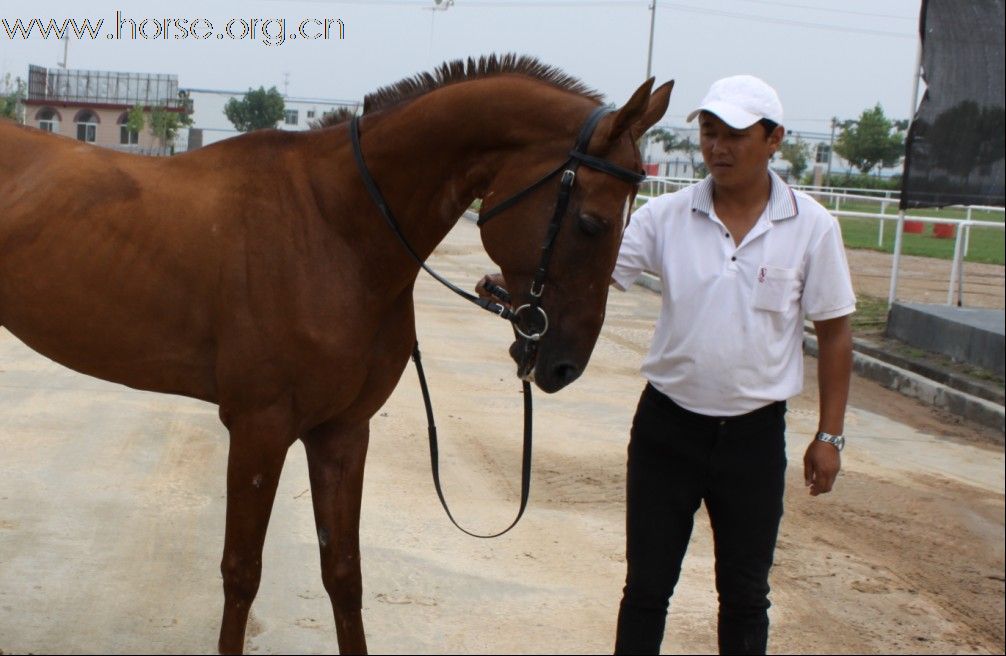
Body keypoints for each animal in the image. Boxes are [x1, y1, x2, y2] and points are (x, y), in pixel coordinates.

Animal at [1, 53, 676, 651]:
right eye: (591, 222)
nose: (563, 365)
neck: (335, 225)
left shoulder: (343, 431)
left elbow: (344, 576)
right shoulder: (260, 428)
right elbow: (241, 573)